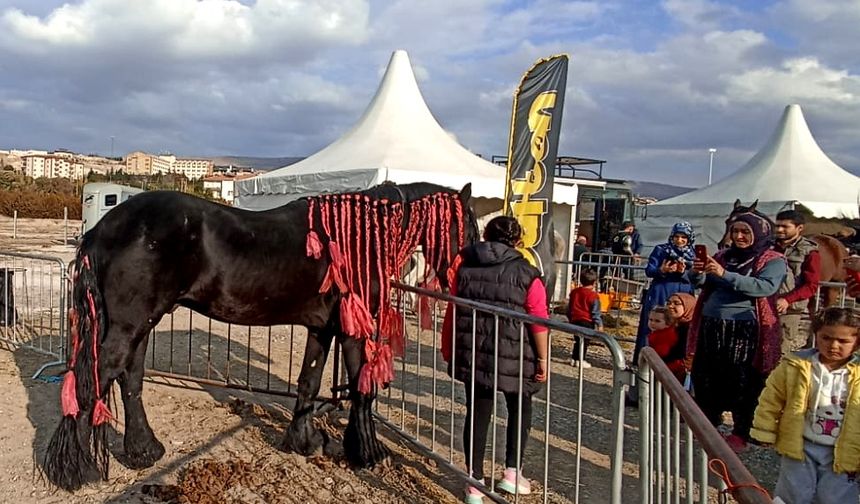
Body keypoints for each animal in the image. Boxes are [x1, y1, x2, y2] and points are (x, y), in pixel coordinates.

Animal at [43, 182, 480, 492]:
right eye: (471, 227)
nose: (466, 286)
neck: (355, 237)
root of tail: (102, 229)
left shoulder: (322, 328)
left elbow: (309, 381)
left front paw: (303, 441)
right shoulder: (352, 330)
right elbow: (361, 386)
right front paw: (368, 453)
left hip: (140, 324)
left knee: (129, 379)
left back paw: (143, 451)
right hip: (131, 324)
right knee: (95, 380)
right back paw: (75, 470)